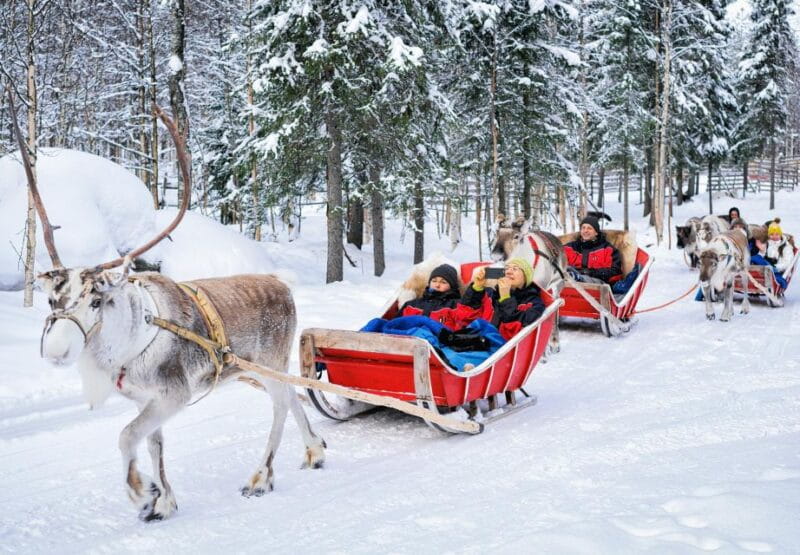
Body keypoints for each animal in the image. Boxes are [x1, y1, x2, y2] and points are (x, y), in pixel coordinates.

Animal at [7, 90, 325, 522]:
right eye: (51, 298)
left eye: (97, 299)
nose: (56, 350)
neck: (125, 344)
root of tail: (281, 284)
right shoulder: (147, 398)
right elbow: (154, 443)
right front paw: (163, 499)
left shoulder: (173, 394)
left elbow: (126, 435)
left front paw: (142, 492)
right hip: (256, 369)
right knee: (293, 395)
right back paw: (315, 449)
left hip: (270, 361)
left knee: (279, 406)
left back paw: (261, 477)